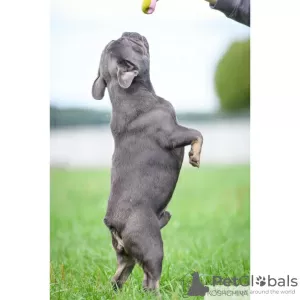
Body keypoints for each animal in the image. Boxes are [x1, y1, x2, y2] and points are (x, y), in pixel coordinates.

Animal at [91, 32, 204, 292]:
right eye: (133, 44)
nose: (129, 32)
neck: (128, 92)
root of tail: (113, 223)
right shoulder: (173, 133)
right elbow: (197, 133)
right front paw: (195, 156)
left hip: (126, 255)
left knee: (120, 275)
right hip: (151, 245)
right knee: (150, 278)